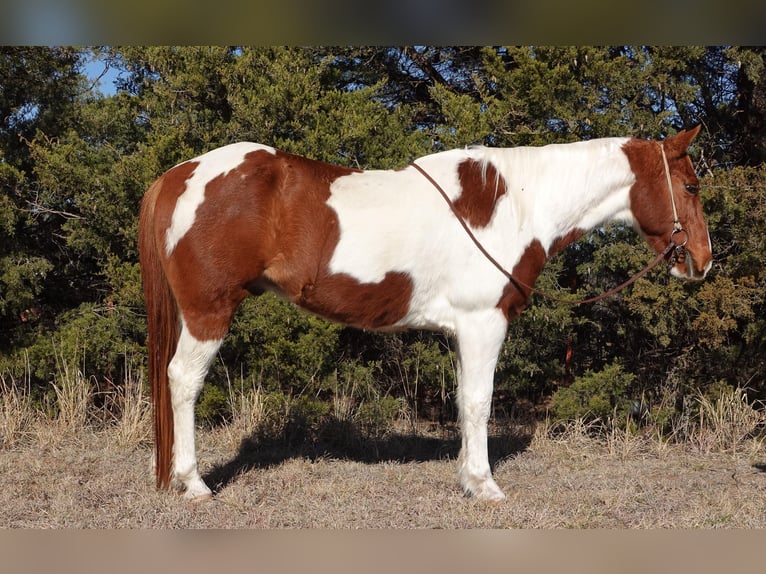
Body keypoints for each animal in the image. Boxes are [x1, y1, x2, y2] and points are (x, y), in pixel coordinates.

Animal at [138, 127, 712, 504]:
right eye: (691, 186)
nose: (703, 262)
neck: (517, 203)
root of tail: (178, 175)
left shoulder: (463, 330)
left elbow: (461, 401)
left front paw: (466, 477)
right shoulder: (485, 322)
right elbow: (479, 402)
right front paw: (484, 486)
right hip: (208, 311)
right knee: (182, 380)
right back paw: (194, 484)